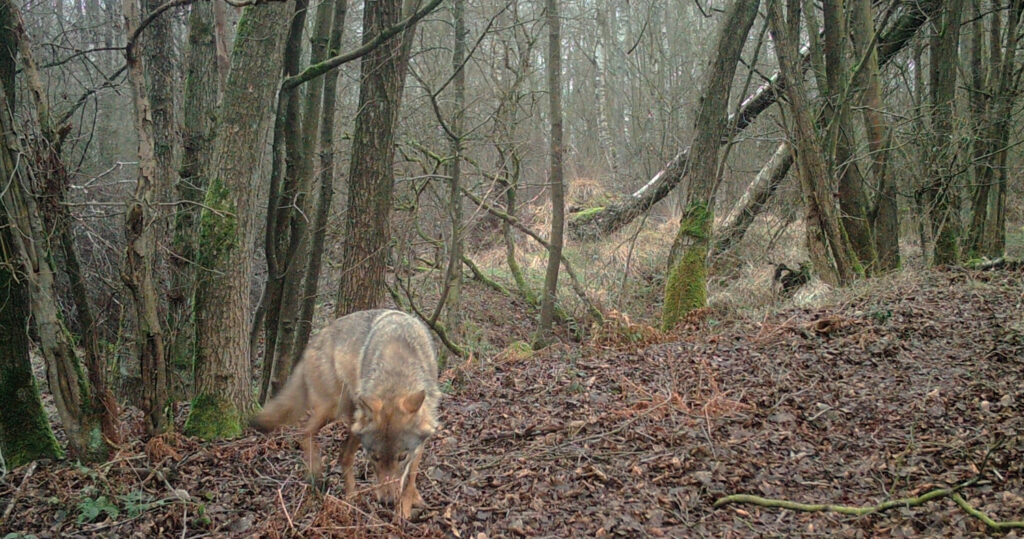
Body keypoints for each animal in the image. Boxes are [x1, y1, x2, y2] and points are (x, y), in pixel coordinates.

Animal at [251, 309, 441, 519]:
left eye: (402, 457)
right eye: (374, 457)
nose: (387, 502)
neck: (396, 371)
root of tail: (315, 340)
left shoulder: (421, 440)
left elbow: (411, 476)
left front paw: (406, 506)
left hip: (352, 420)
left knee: (342, 453)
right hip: (334, 409)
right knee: (306, 432)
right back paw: (325, 480)